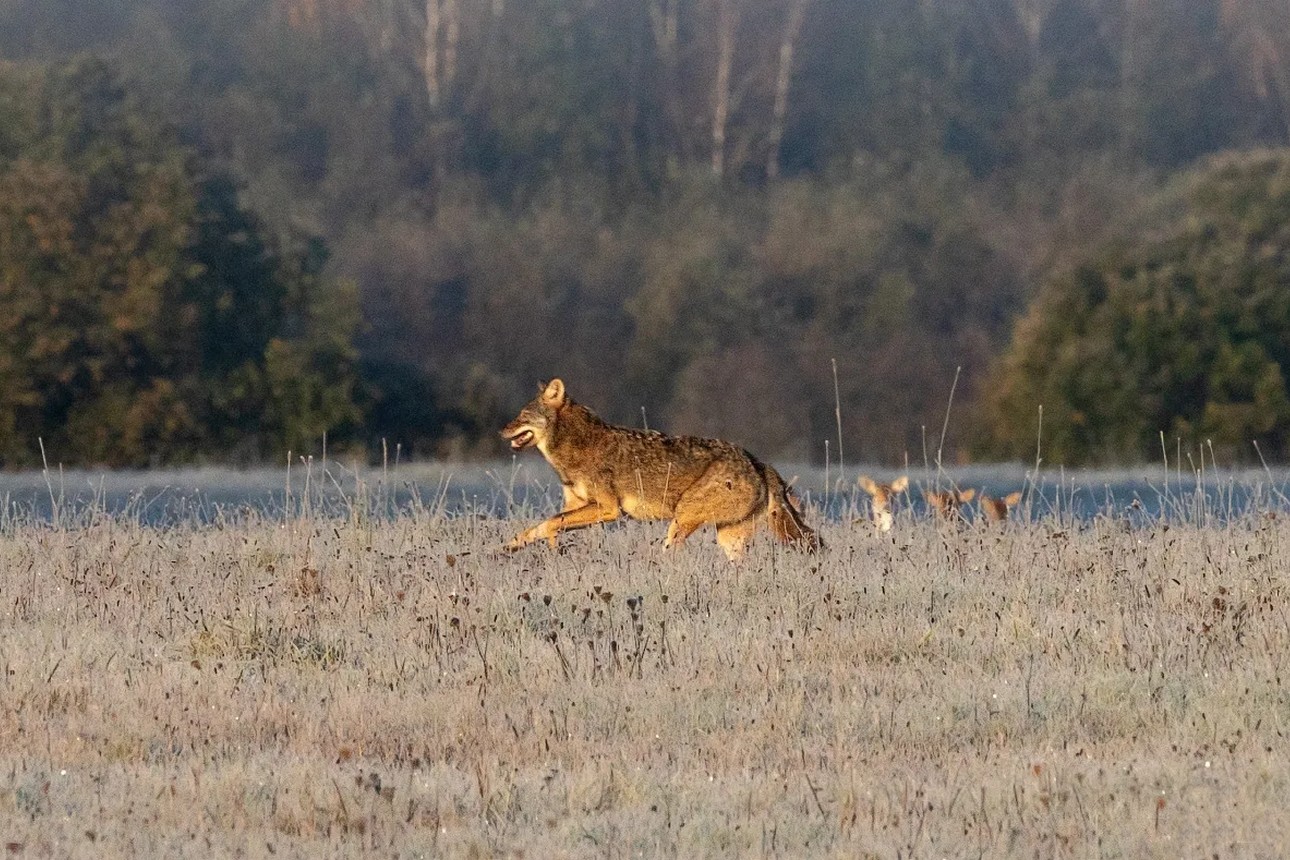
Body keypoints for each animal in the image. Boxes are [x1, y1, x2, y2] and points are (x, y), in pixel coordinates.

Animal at [497, 379, 820, 562]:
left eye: (522, 416)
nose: (501, 430)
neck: (575, 447)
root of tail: (758, 462)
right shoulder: (576, 505)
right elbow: (537, 527)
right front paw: (506, 548)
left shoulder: (609, 509)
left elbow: (551, 524)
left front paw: (550, 546)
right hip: (727, 538)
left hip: (681, 519)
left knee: (669, 554)